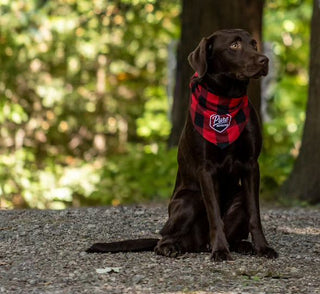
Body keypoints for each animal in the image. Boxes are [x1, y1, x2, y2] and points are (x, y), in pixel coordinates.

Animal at [87, 28, 278, 260]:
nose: (264, 60)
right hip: (189, 200)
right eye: (234, 45)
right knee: (164, 239)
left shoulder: (251, 165)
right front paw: (220, 250)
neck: (225, 103)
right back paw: (173, 247)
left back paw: (241, 245)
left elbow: (254, 214)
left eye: (254, 44)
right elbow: (215, 215)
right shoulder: (205, 169)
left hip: (237, 197)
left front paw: (262, 247)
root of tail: (199, 243)